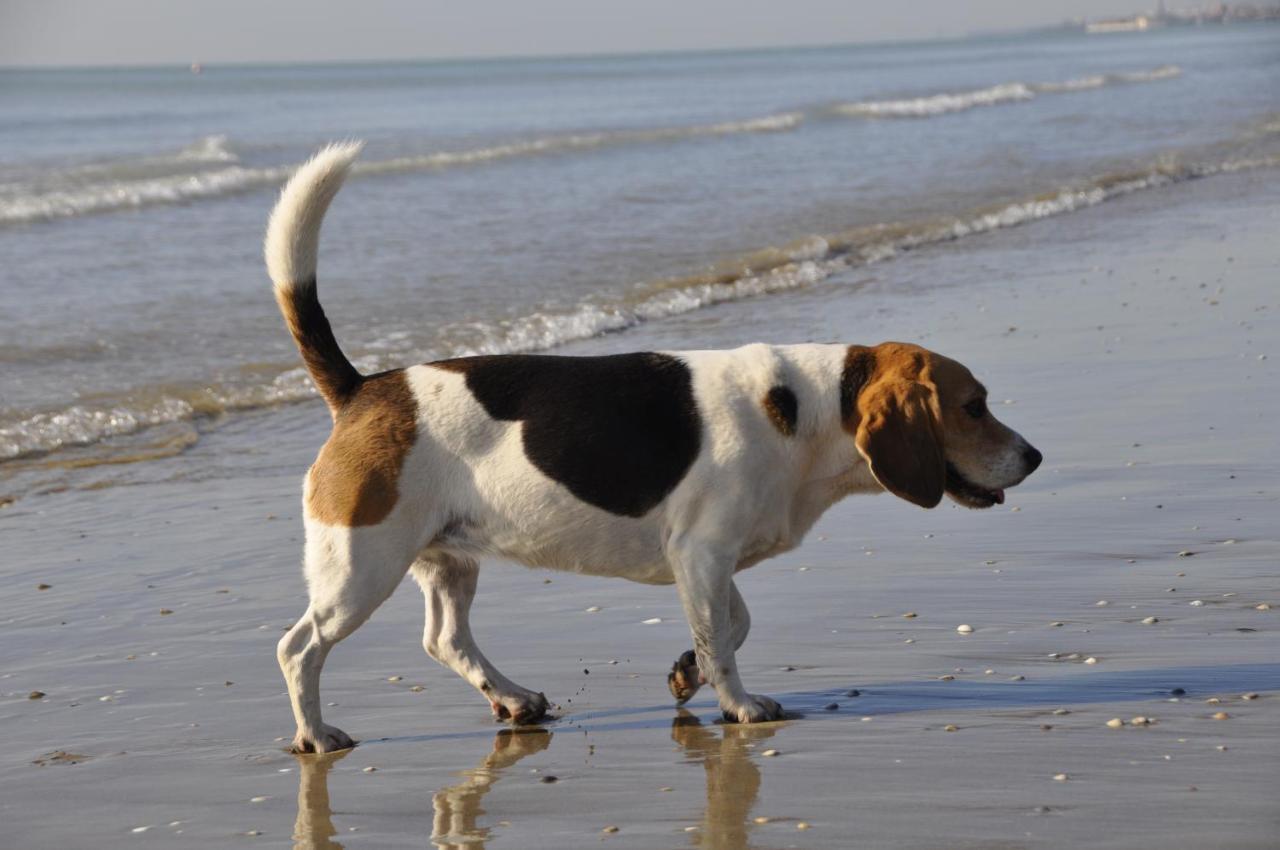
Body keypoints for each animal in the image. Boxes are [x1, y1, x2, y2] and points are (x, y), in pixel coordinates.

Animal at [262, 144, 1039, 752]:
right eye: (974, 406)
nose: (1035, 458)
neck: (810, 408)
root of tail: (364, 388)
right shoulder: (701, 551)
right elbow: (725, 635)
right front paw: (737, 703)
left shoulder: (710, 559)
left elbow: (732, 623)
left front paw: (688, 670)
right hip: (360, 566)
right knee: (299, 648)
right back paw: (314, 735)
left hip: (448, 558)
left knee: (446, 639)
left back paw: (512, 698)